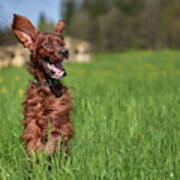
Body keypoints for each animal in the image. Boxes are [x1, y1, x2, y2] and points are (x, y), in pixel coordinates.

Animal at [12, 14, 74, 156]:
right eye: (46, 44)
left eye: (62, 43)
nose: (64, 51)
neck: (47, 87)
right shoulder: (32, 119)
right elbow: (33, 140)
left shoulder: (59, 116)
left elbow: (55, 136)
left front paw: (47, 153)